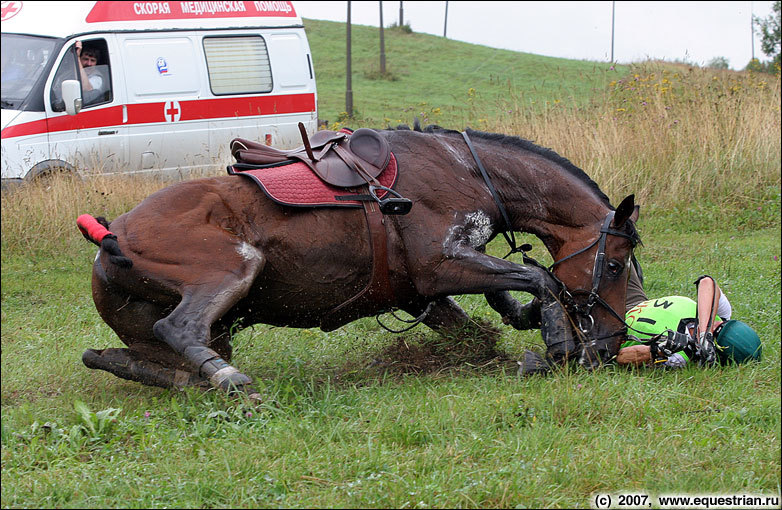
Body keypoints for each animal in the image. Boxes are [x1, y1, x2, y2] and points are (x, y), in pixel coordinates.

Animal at [78, 123, 644, 398]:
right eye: (615, 266)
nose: (612, 345)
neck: (467, 170)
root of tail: (110, 235)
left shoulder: (422, 290)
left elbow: (489, 317)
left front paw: (531, 332)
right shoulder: (438, 267)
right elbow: (539, 276)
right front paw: (559, 344)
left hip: (182, 329)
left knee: (114, 357)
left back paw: (188, 379)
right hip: (230, 268)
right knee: (181, 328)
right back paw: (229, 382)